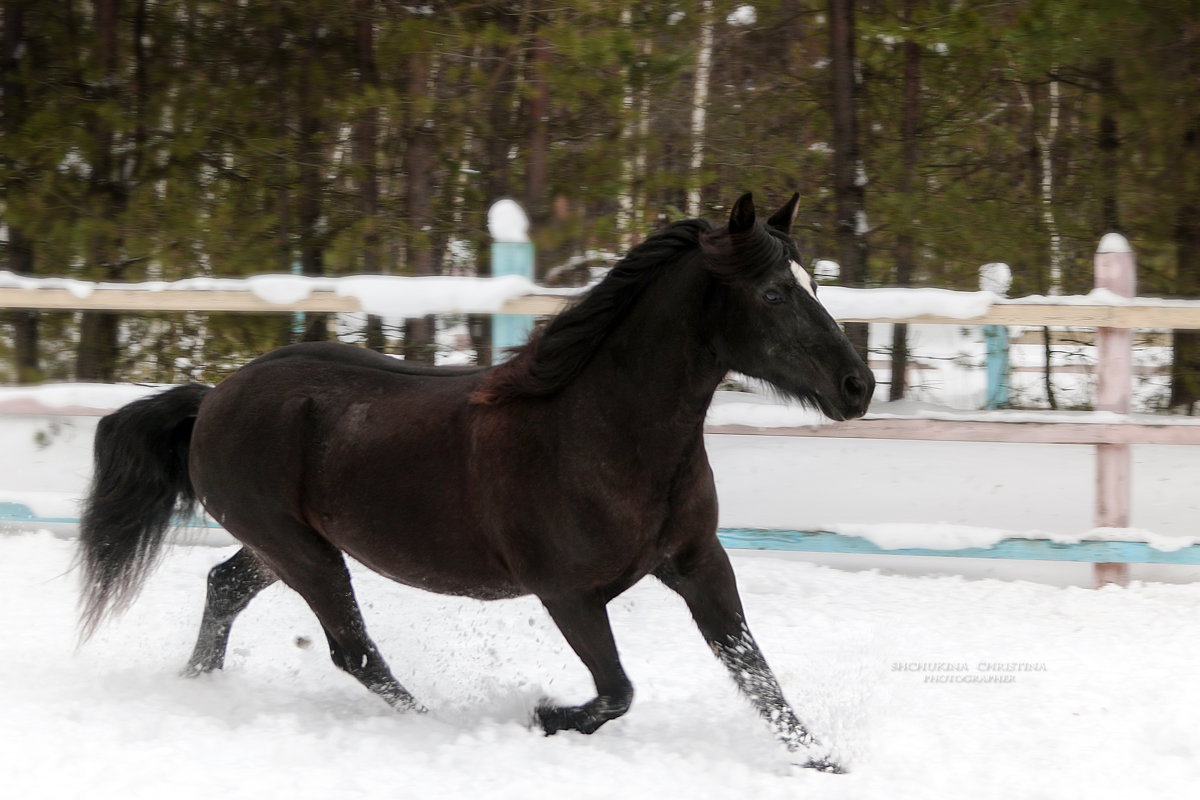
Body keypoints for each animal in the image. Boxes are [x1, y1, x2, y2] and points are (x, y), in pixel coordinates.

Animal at [82, 191, 873, 767]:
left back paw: (198, 685)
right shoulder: (568, 593)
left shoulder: (699, 564)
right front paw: (544, 716)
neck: (602, 434)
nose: (857, 386)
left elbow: (755, 672)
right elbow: (617, 690)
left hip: (283, 548)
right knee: (352, 650)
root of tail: (213, 397)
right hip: (302, 552)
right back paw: (429, 723)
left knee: (225, 587)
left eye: (811, 283)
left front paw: (822, 760)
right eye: (772, 294)